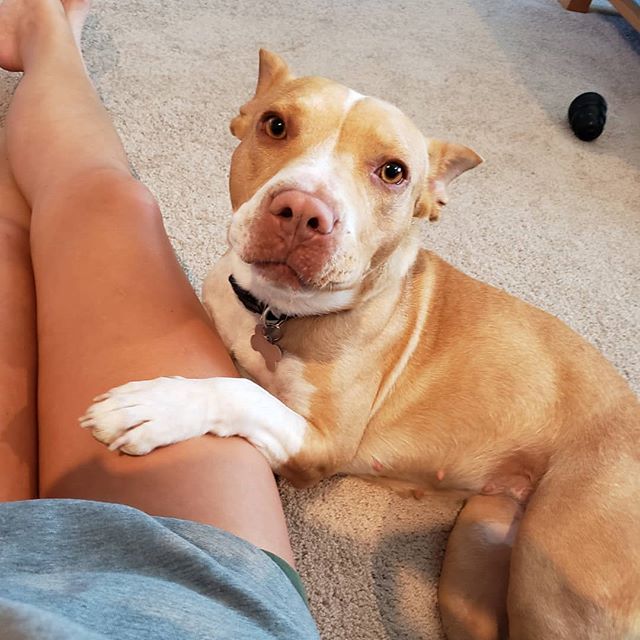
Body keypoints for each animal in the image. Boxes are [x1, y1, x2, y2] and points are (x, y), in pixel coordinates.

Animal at [81, 51, 640, 640]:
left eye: (393, 171)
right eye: (274, 124)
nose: (303, 211)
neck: (277, 313)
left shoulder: (322, 445)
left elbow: (242, 393)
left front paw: (159, 405)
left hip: (554, 584)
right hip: (474, 553)